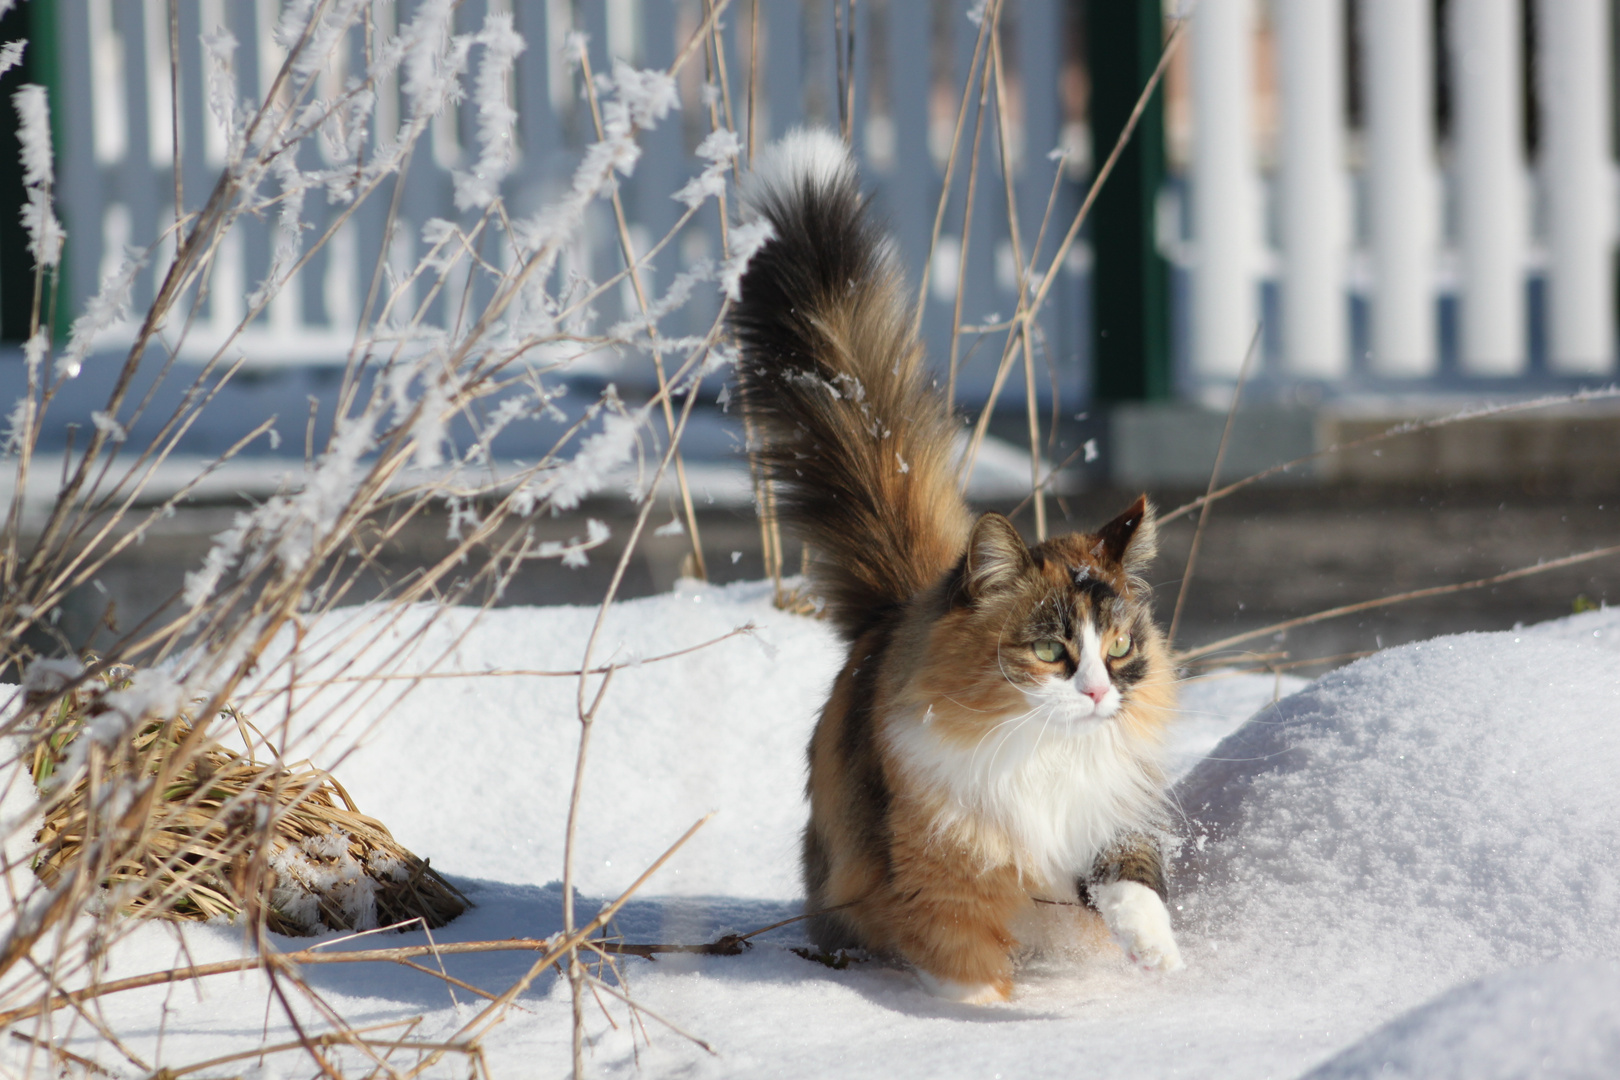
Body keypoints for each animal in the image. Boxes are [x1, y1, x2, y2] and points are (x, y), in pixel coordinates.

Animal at [732, 128, 1179, 1003]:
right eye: (1049, 650)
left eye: (1118, 648)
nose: (1098, 692)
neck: (1040, 754)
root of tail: (898, 610)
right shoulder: (941, 878)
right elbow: (967, 969)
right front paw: (982, 1013)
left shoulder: (1109, 820)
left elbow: (1134, 883)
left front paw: (1157, 957)